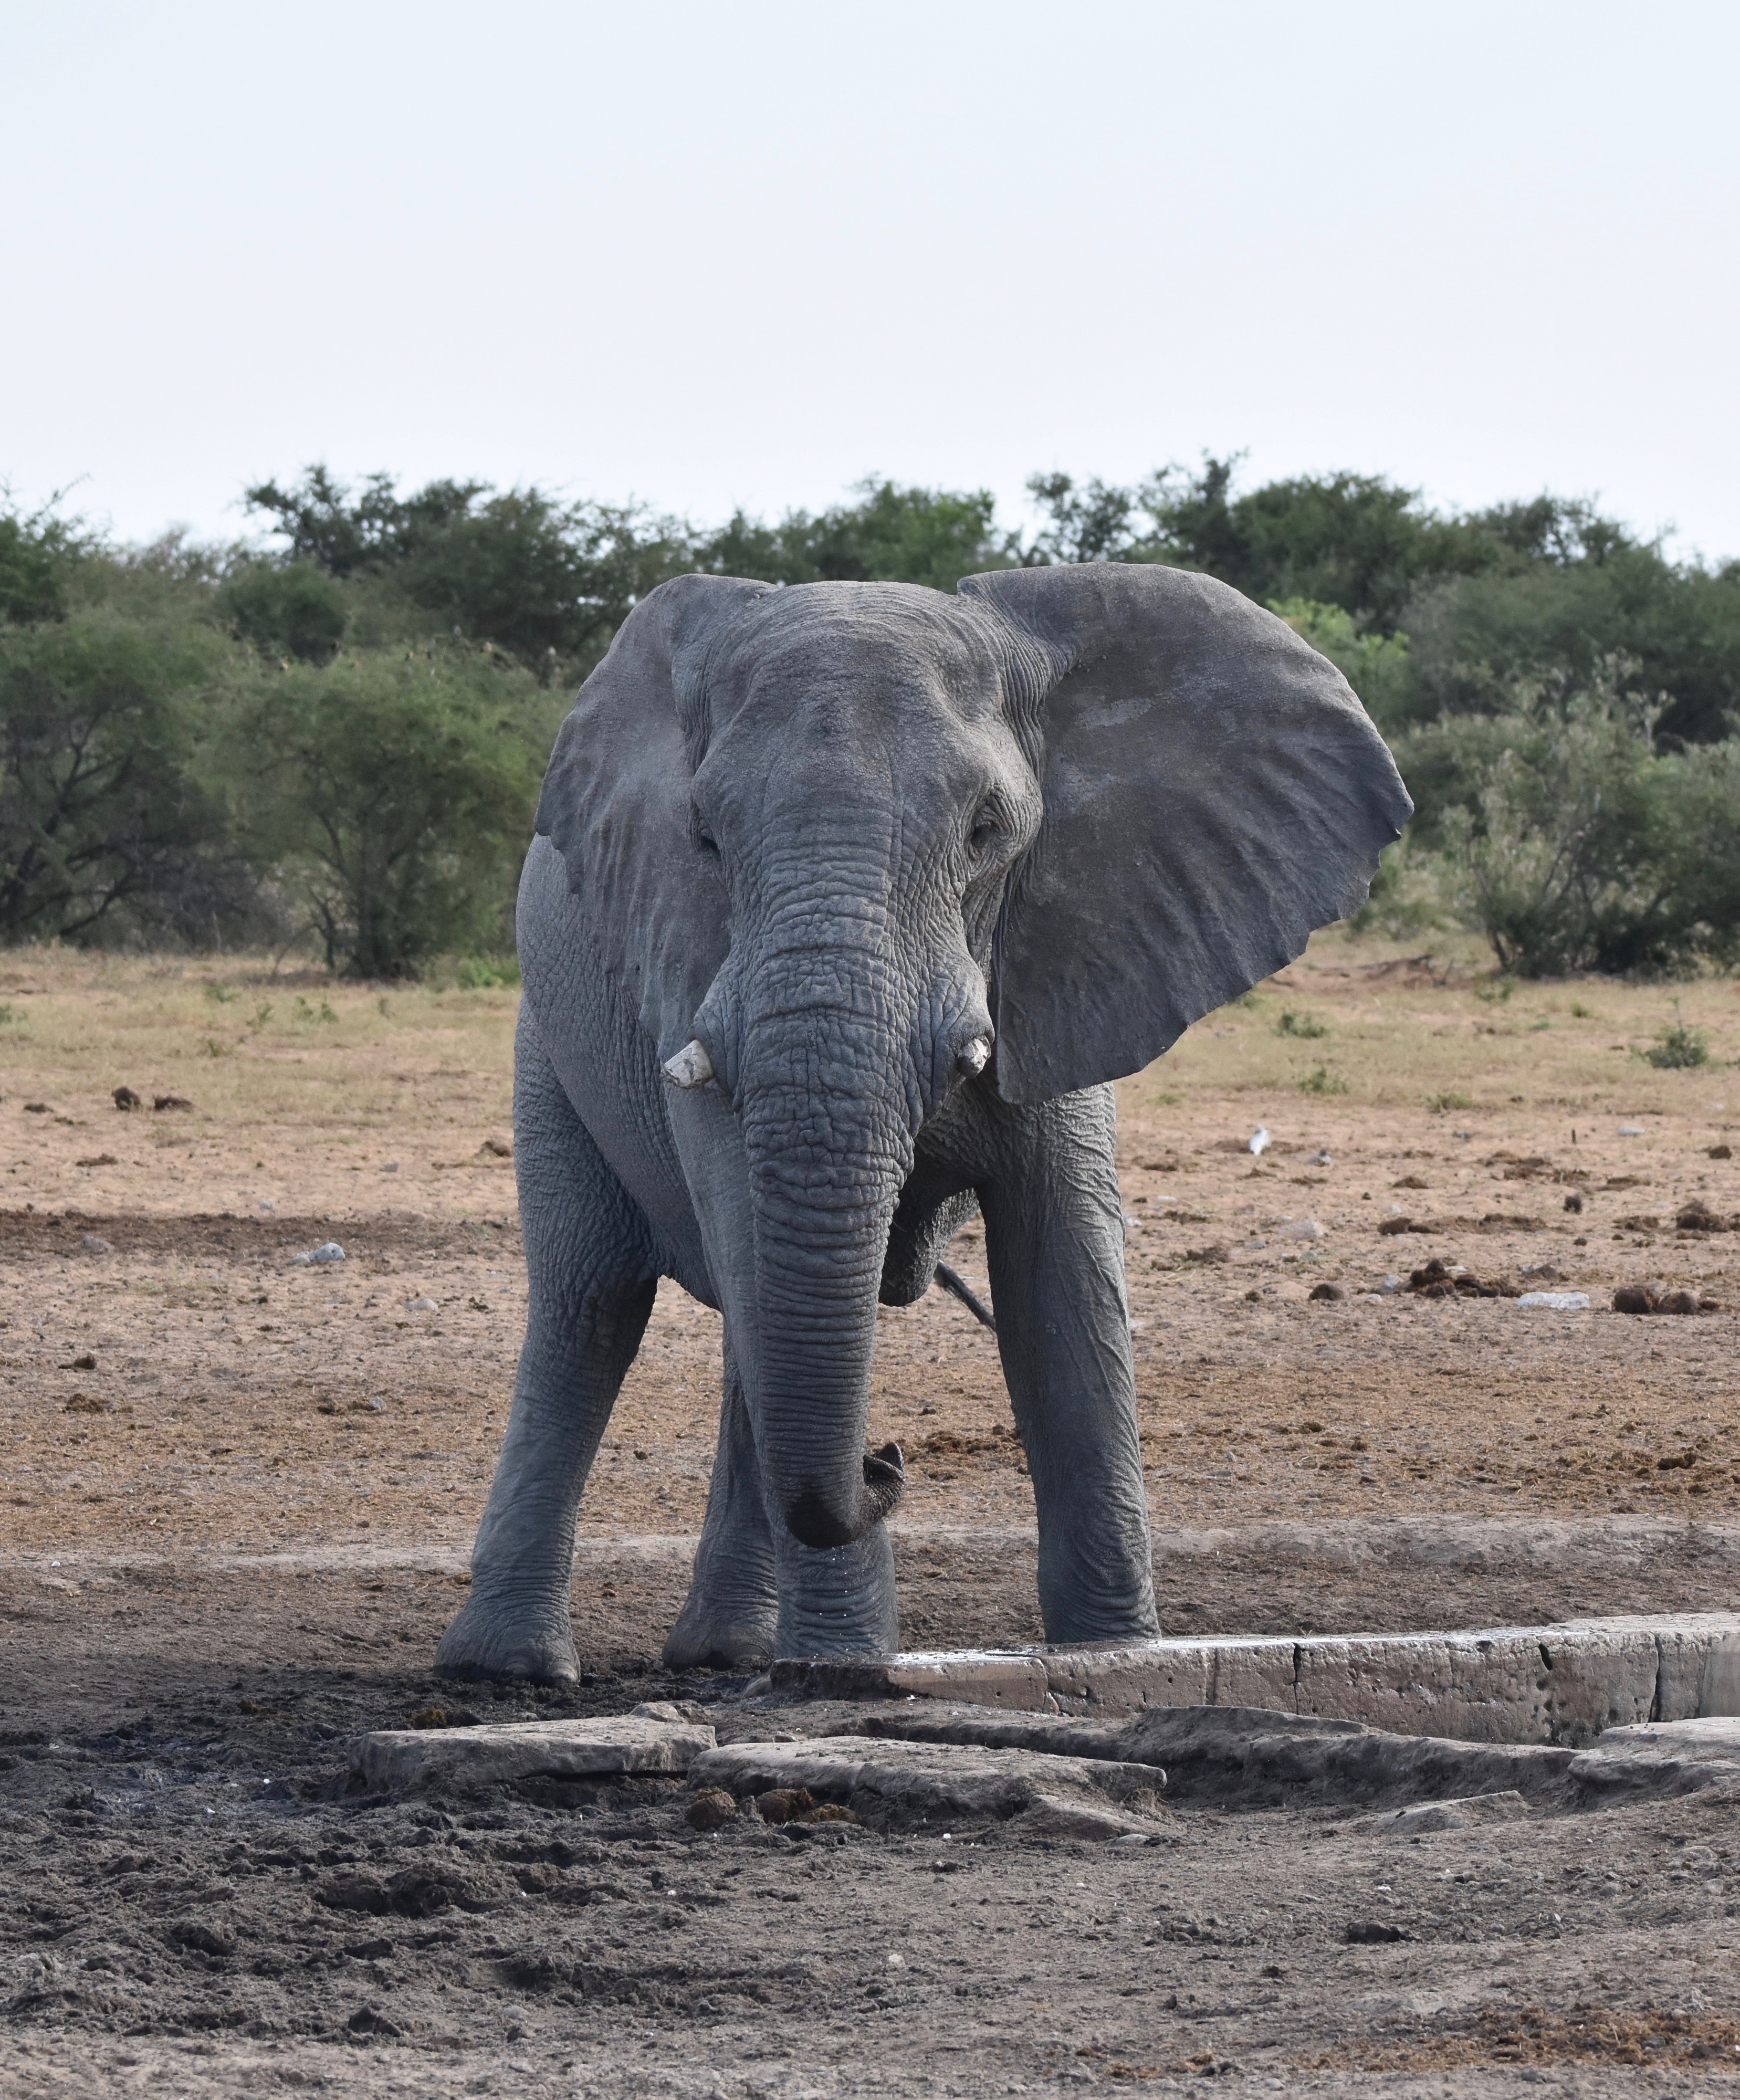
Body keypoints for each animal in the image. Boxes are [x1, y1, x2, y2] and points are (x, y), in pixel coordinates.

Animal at [439, 567, 1412, 1680]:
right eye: (704, 839)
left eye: (985, 832)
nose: (887, 1455)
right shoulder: (688, 968)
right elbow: (748, 1246)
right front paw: (842, 1681)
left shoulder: (1071, 944)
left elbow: (1059, 1273)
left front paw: (1114, 1659)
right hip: (546, 1040)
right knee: (591, 1302)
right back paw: (511, 1668)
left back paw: (727, 1653)